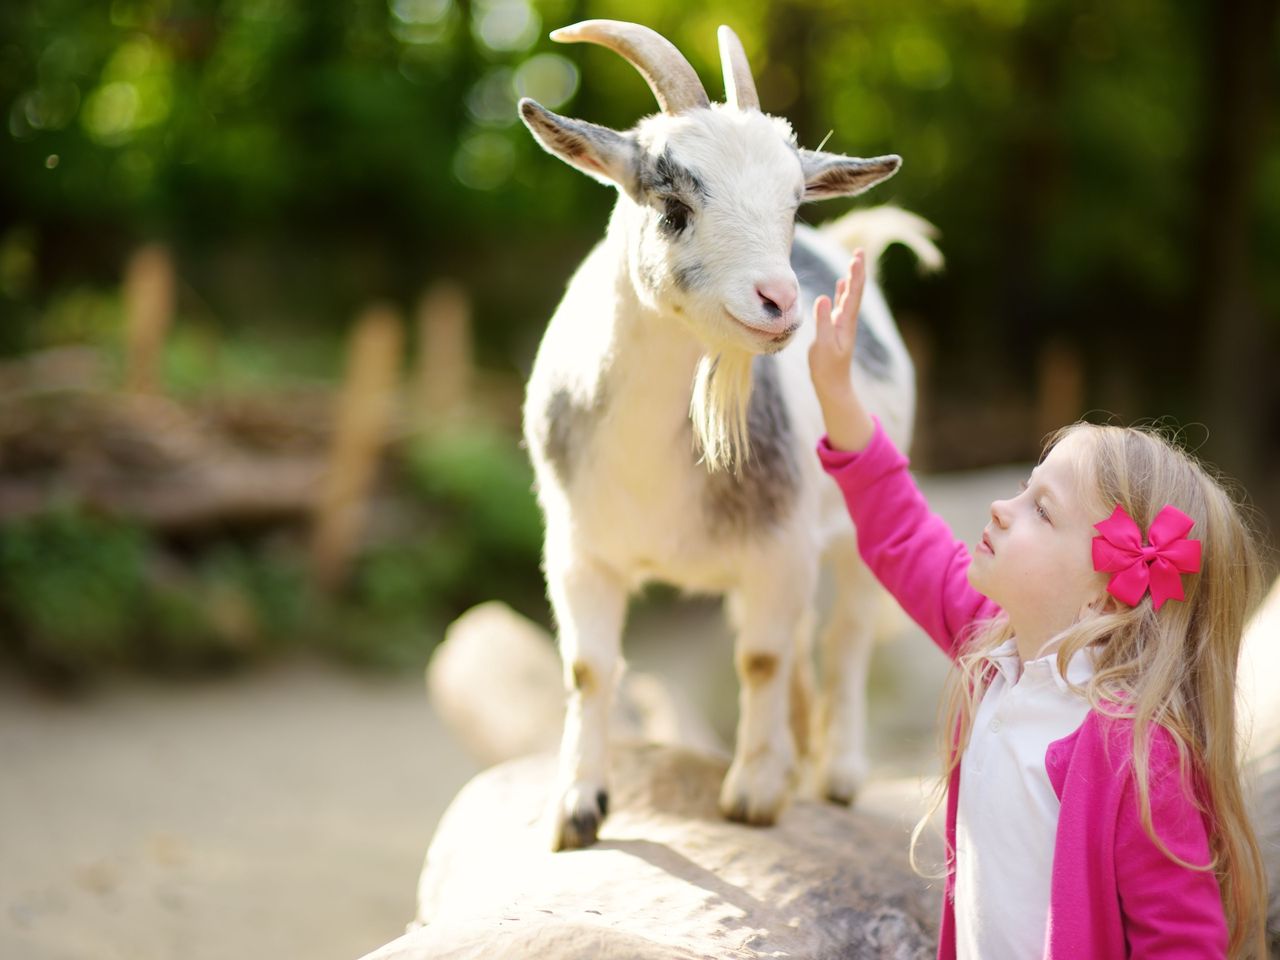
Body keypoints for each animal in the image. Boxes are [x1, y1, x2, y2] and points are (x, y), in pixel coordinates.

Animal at [519, 20, 942, 849]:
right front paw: (576, 809)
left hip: (852, 531)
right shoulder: (580, 552)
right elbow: (591, 669)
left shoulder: (779, 550)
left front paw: (754, 792)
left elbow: (763, 660)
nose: (779, 300)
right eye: (672, 203)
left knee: (846, 637)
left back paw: (836, 771)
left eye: (792, 204)